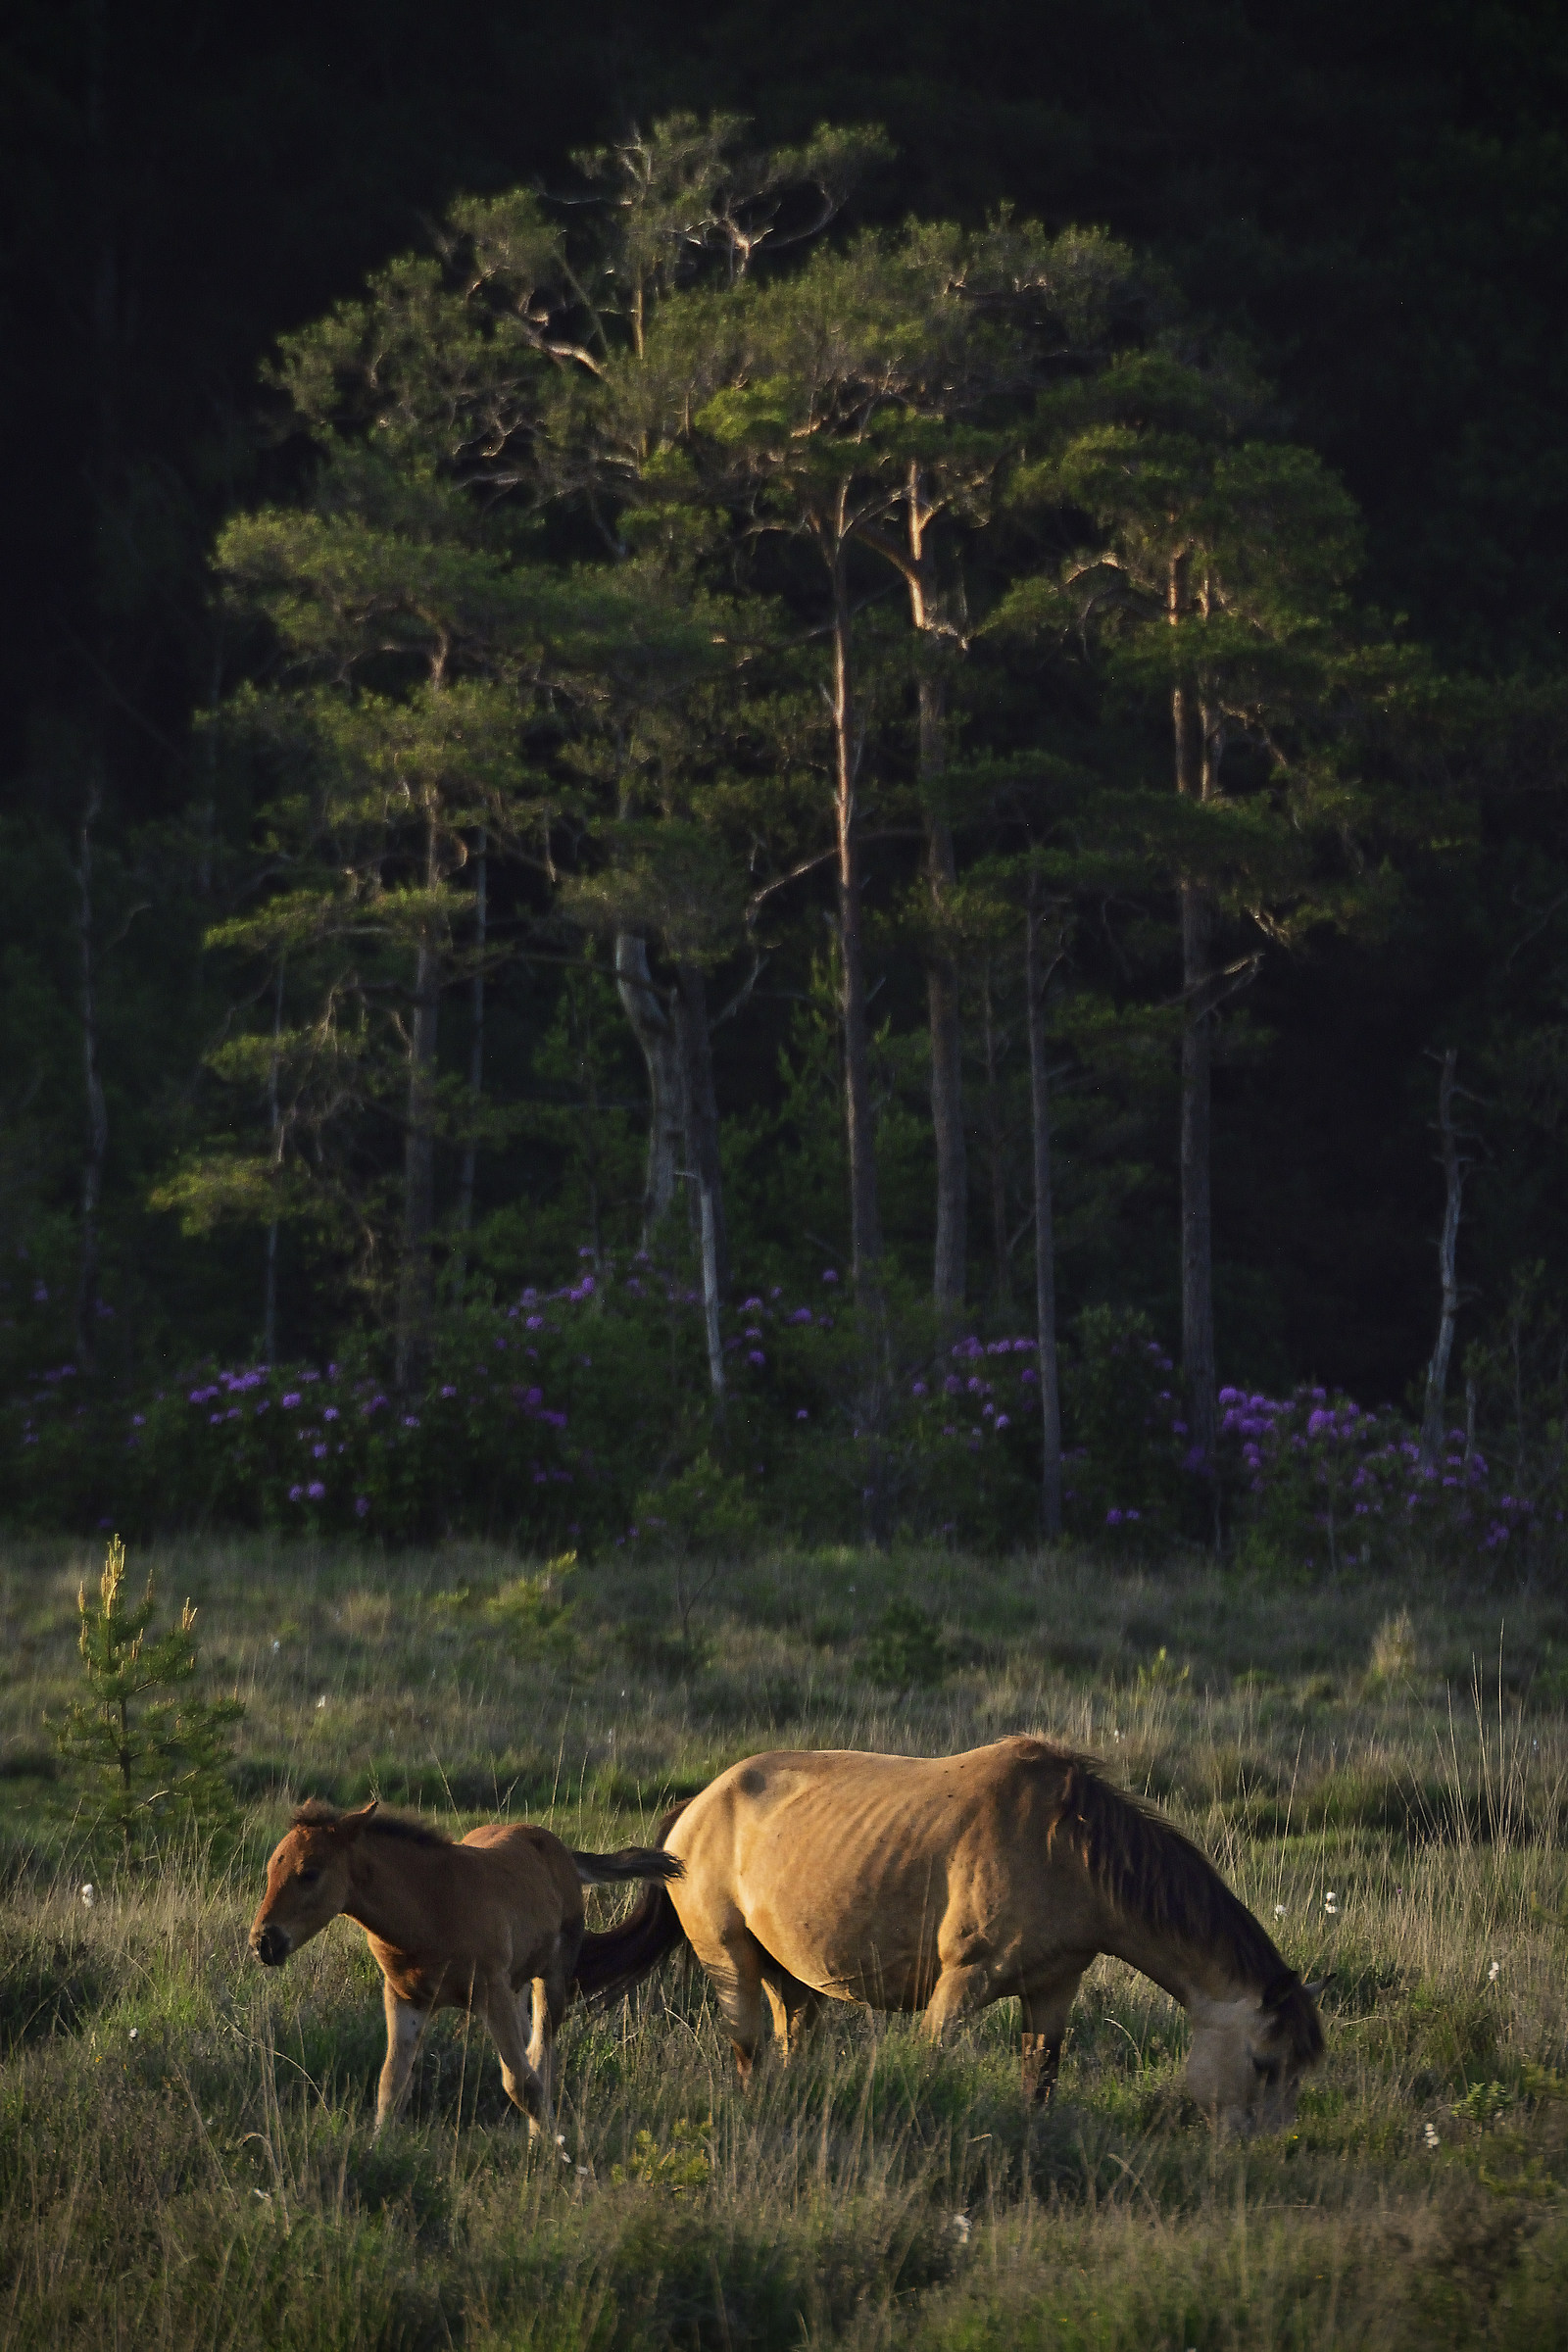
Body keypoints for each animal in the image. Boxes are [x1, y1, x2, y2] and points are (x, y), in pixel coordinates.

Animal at [249, 1798, 682, 2140]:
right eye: (269, 1870)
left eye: (309, 1873)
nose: (263, 1942)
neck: (429, 1908)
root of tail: (562, 1852)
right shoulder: (405, 1998)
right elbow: (392, 2085)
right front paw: (377, 2151)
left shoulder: (490, 1991)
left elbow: (521, 2083)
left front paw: (553, 2155)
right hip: (516, 1986)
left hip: (551, 1978)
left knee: (541, 2056)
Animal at [574, 1735, 1326, 2133]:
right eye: (1265, 2065)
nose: (1254, 2159)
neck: (1066, 1849)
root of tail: (695, 1807)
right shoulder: (962, 1984)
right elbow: (931, 2068)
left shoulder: (1054, 1989)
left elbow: (1039, 2080)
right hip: (732, 1964)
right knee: (748, 2055)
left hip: (792, 1979)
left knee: (789, 2048)